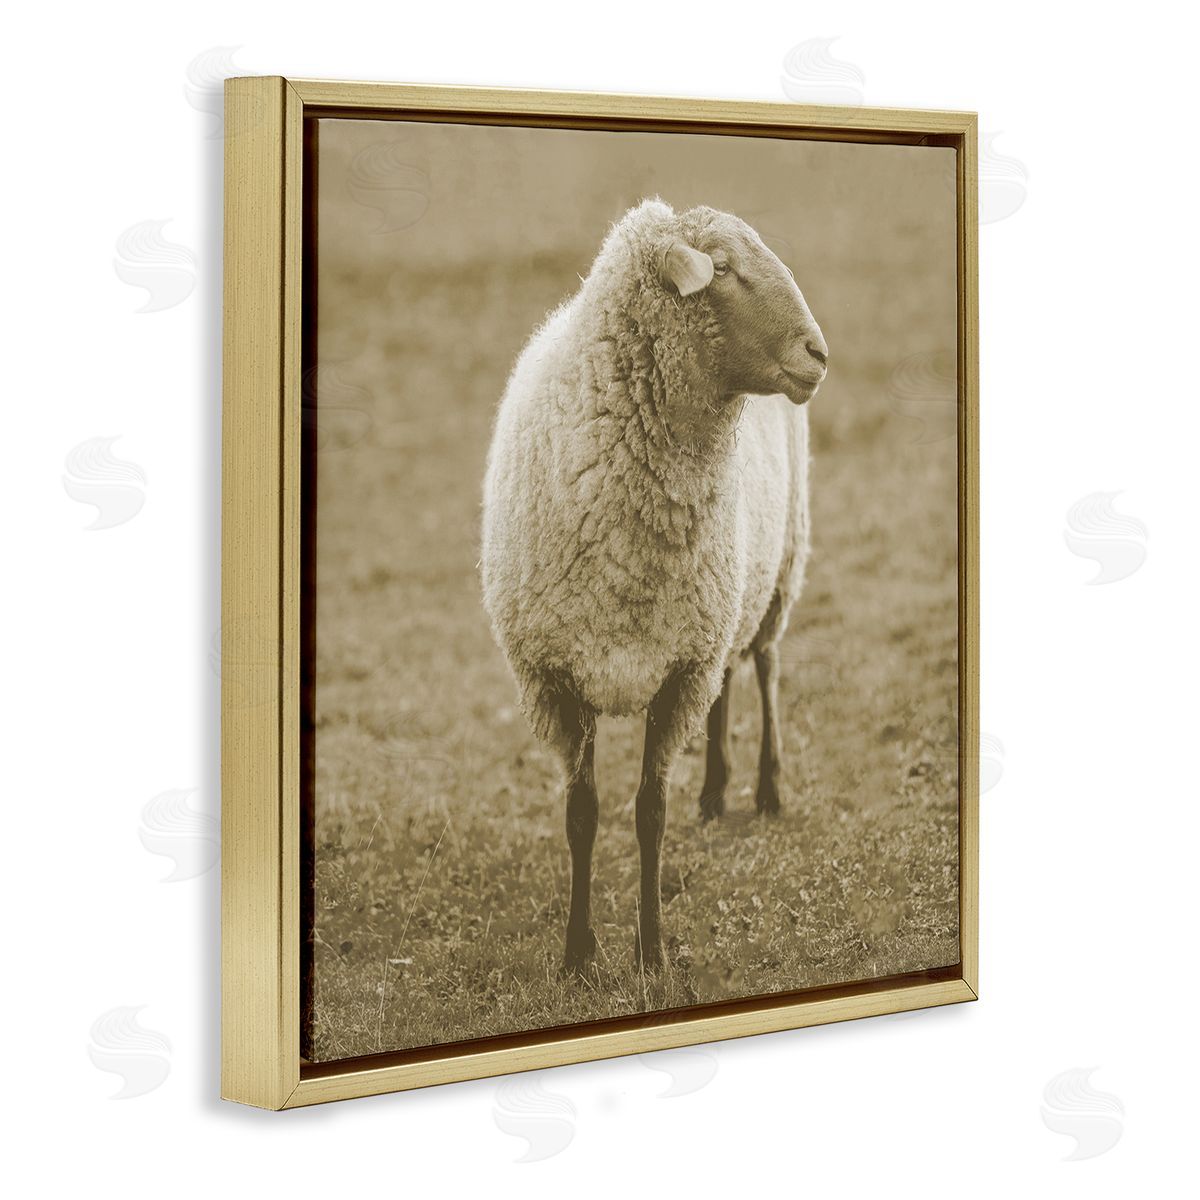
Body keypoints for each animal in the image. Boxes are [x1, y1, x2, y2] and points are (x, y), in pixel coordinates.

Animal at [481, 198, 828, 974]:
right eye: (720, 269)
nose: (819, 354)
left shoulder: (677, 674)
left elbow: (649, 814)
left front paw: (651, 951)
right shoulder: (560, 678)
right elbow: (582, 816)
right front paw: (578, 955)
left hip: (780, 566)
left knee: (764, 665)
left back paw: (767, 786)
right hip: (726, 599)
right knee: (729, 682)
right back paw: (716, 788)